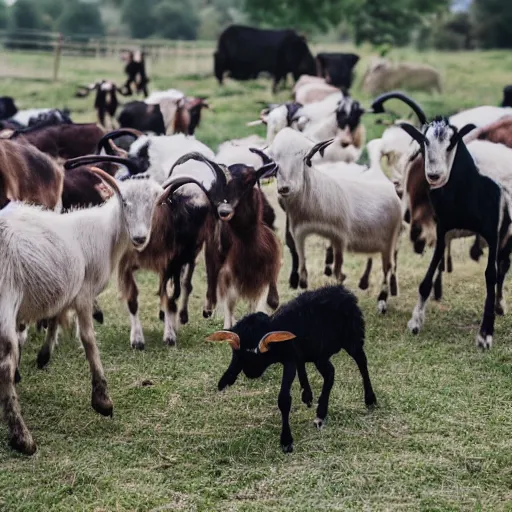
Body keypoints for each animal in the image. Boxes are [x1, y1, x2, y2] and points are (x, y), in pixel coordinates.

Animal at [206, 286, 378, 454]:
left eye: (260, 355)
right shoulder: (293, 355)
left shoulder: (289, 360)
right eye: (238, 355)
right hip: (319, 354)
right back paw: (316, 408)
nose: (250, 373)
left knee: (361, 363)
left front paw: (286, 441)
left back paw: (369, 400)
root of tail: (344, 291)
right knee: (329, 372)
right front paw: (225, 381)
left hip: (352, 339)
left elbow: (284, 399)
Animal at [266, 128, 402, 312]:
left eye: (304, 158)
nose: (284, 188)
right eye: (273, 161)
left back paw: (383, 298)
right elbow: (301, 259)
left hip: (390, 237)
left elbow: (339, 269)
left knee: (389, 264)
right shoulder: (298, 230)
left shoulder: (341, 234)